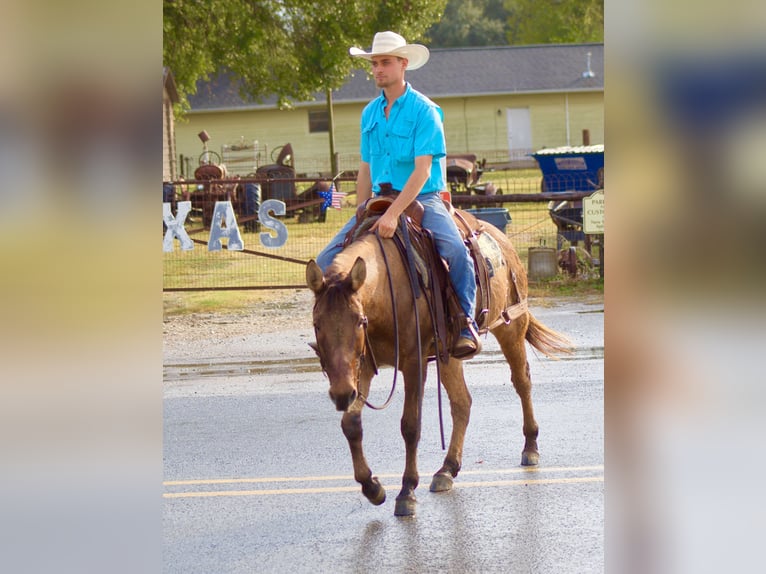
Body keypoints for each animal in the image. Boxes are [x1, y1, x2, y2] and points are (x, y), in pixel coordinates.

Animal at [306, 209, 568, 520]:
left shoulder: (413, 362)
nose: (341, 394)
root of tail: (501, 239)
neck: (385, 290)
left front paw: (406, 491)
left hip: (512, 325)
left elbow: (410, 425)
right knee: (462, 402)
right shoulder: (362, 367)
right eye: (317, 323)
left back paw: (530, 447)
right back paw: (447, 469)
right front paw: (372, 487)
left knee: (522, 382)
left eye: (359, 321)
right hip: (448, 356)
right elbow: (351, 423)